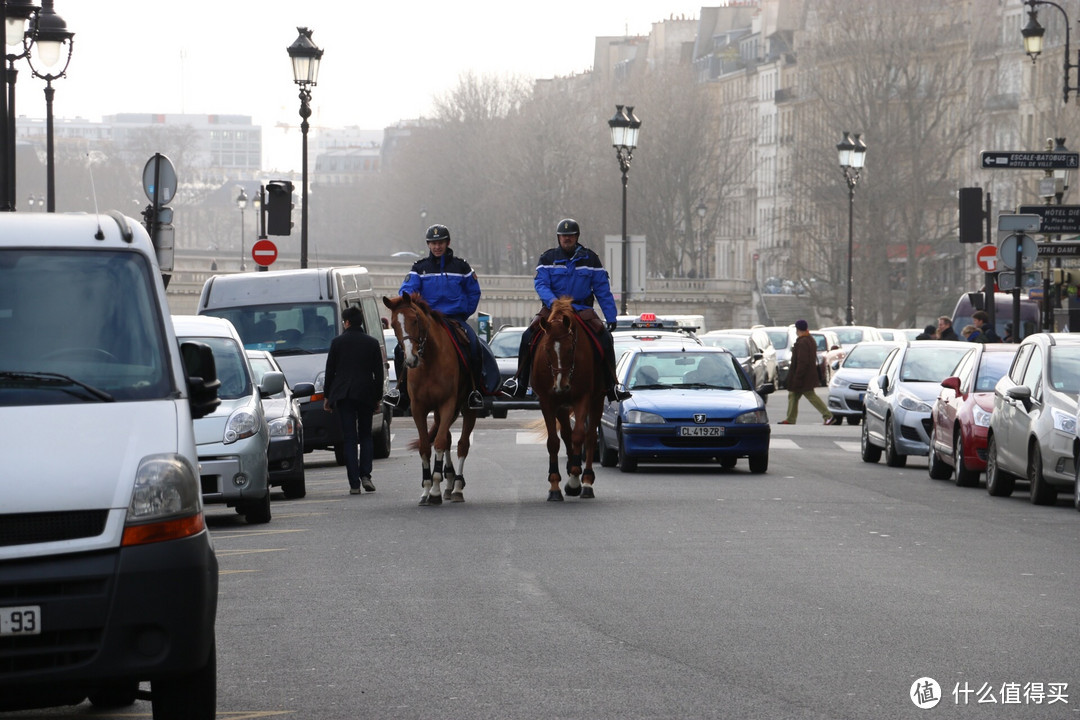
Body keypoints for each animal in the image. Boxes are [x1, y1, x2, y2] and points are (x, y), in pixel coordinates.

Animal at [384, 293, 477, 507]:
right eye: (393, 324)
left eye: (415, 320)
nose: (411, 360)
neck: (429, 363)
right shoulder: (419, 408)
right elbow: (426, 446)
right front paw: (426, 489)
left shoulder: (447, 404)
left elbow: (441, 443)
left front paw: (434, 490)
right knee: (449, 438)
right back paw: (449, 483)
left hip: (467, 408)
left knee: (462, 444)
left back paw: (457, 487)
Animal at [531, 297, 609, 500]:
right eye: (547, 349)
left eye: (570, 349)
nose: (561, 386)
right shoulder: (548, 402)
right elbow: (553, 441)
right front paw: (554, 484)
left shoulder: (583, 398)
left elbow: (579, 435)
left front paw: (574, 479)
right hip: (562, 406)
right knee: (566, 433)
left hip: (597, 400)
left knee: (590, 437)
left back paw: (586, 480)